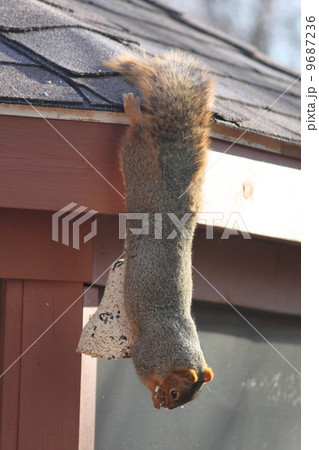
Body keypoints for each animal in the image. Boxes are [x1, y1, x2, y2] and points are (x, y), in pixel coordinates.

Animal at [105, 51, 215, 410]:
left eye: (184, 401)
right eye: (175, 393)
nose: (166, 406)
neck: (179, 347)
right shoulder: (148, 352)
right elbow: (143, 370)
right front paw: (152, 396)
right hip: (139, 163)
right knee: (140, 133)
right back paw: (133, 111)